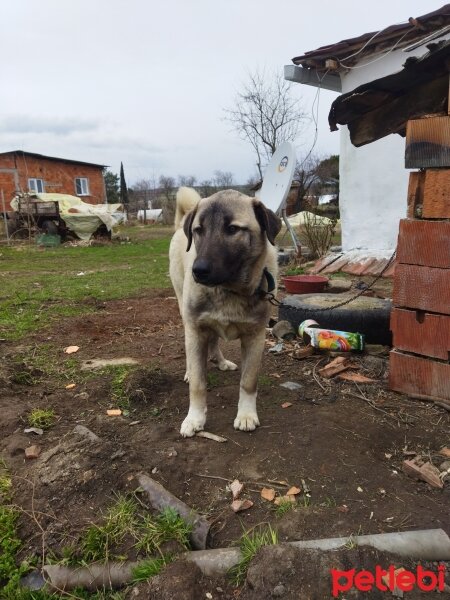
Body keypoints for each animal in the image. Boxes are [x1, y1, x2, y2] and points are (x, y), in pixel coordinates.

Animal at [170, 185, 282, 438]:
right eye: (198, 230)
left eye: (232, 229)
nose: (198, 270)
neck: (229, 290)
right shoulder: (195, 330)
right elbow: (199, 384)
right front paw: (195, 418)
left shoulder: (255, 337)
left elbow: (248, 382)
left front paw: (247, 415)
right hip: (187, 318)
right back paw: (191, 370)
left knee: (214, 342)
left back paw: (220, 361)